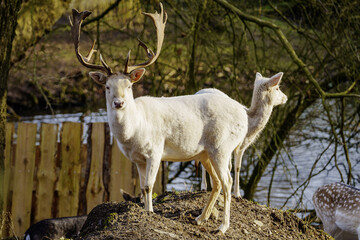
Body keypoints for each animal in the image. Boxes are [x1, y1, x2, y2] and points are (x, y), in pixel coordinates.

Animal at [68, 2, 248, 233]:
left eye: (129, 85)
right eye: (107, 87)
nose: (119, 103)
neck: (133, 132)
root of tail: (243, 112)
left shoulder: (155, 151)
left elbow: (148, 185)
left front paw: (150, 213)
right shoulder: (137, 159)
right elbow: (142, 188)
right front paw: (147, 210)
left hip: (222, 146)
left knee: (227, 182)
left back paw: (222, 227)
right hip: (205, 152)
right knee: (217, 182)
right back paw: (200, 218)